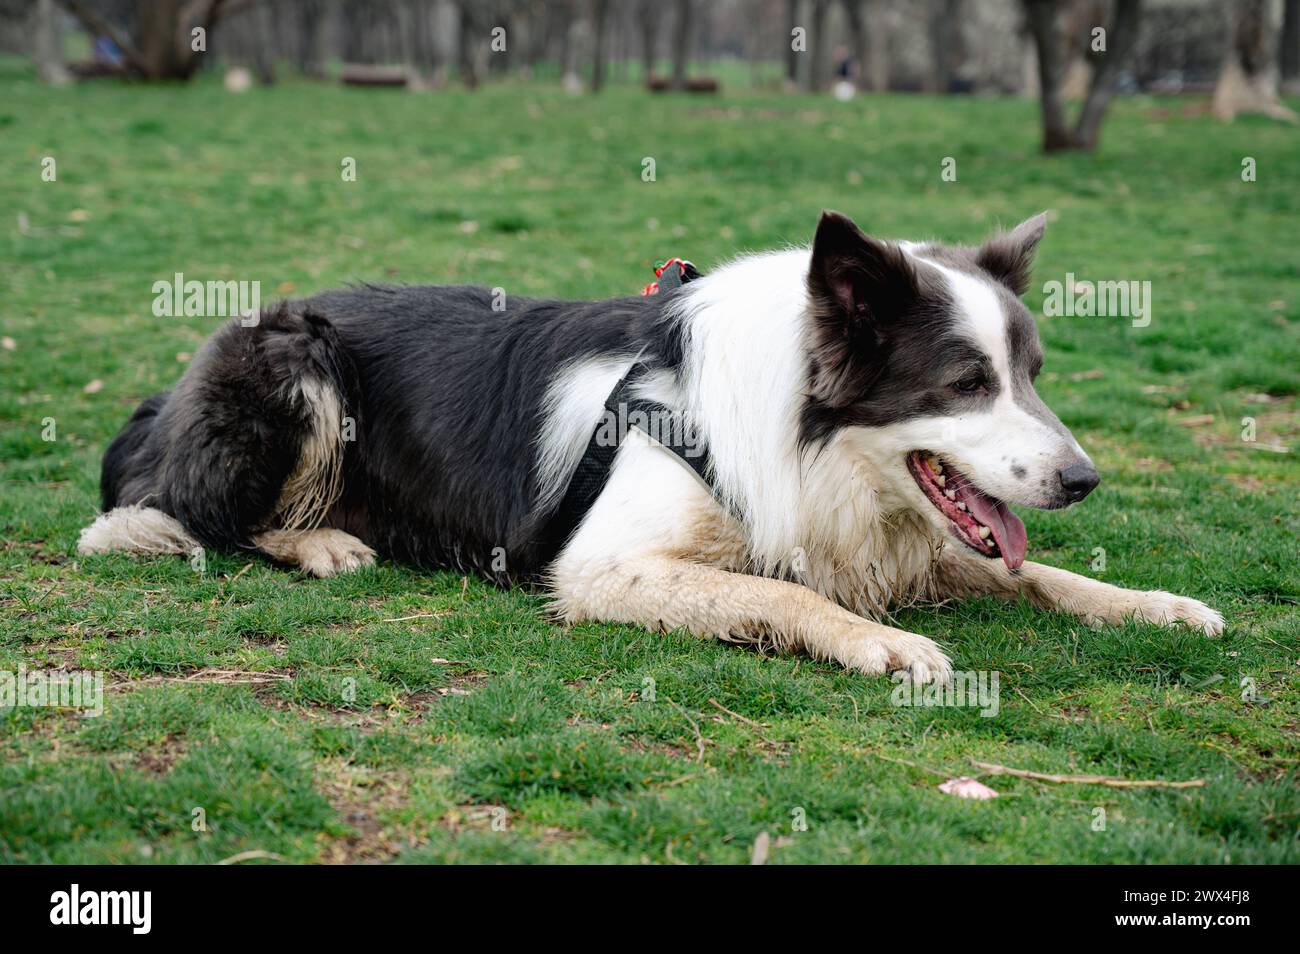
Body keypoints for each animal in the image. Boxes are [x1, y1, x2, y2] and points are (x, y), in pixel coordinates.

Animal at [78, 211, 1216, 686]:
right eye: (966, 383)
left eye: (1032, 373)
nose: (1083, 479)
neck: (793, 429)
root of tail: (168, 390)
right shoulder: (603, 565)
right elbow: (778, 592)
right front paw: (877, 642)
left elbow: (1045, 576)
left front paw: (1157, 605)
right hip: (298, 364)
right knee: (191, 514)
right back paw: (317, 540)